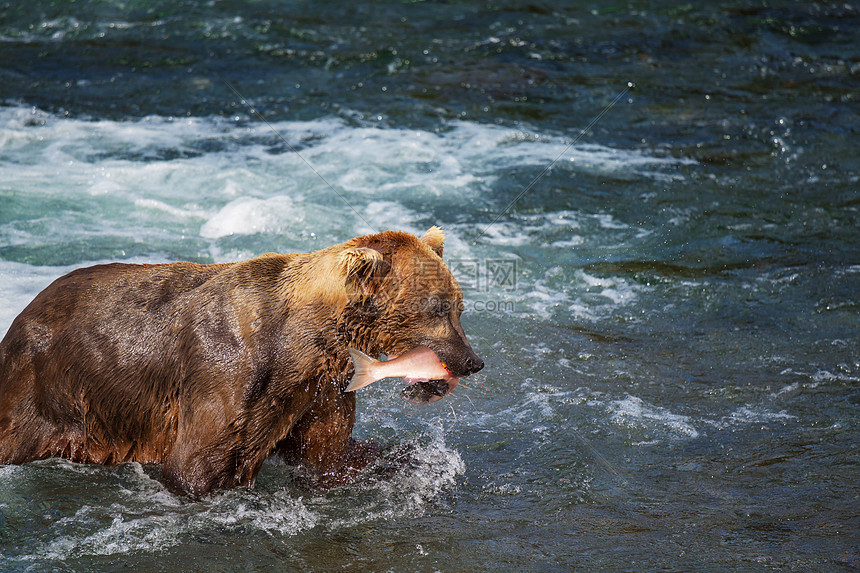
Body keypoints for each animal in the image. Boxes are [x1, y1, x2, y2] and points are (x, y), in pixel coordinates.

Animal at [0, 226, 484, 494]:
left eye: (459, 307)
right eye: (438, 308)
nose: (472, 361)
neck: (302, 344)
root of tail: (21, 315)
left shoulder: (318, 390)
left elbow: (329, 456)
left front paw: (403, 460)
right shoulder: (225, 376)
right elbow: (196, 465)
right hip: (47, 391)